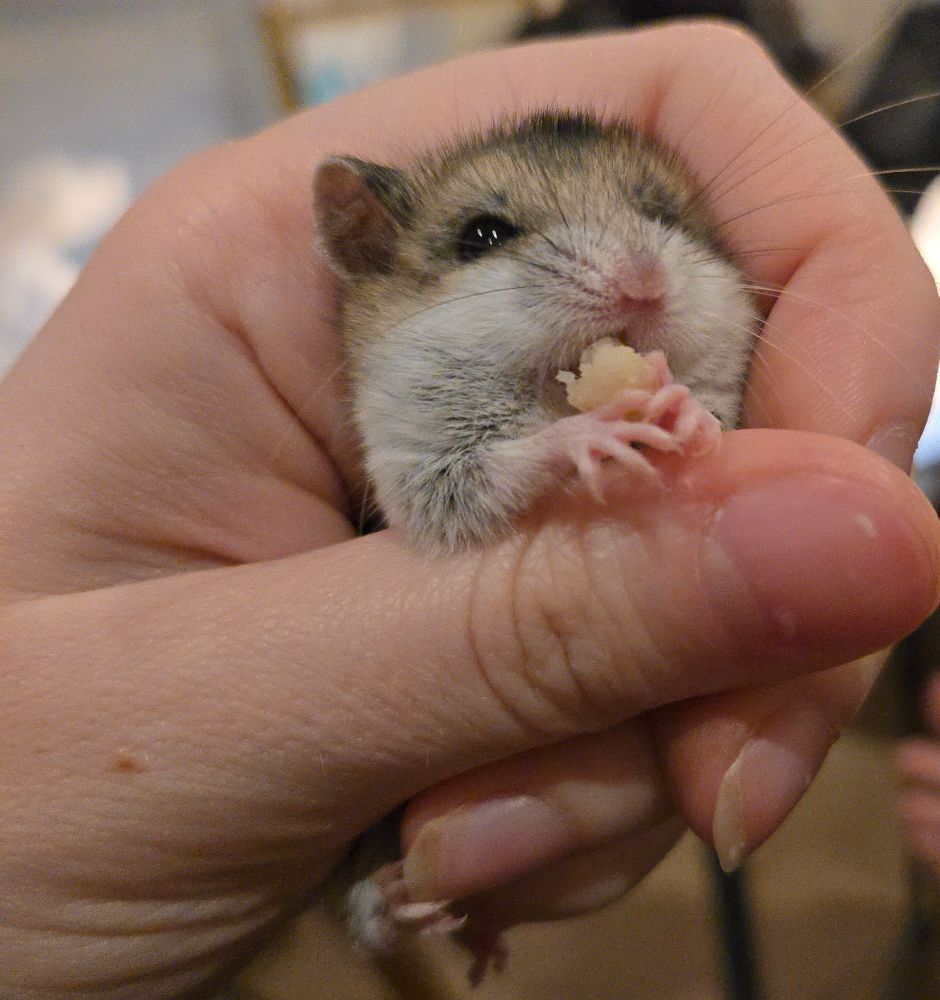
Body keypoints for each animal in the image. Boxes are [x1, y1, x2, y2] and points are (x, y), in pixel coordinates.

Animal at [312, 110, 757, 553]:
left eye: (663, 215)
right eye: (483, 235)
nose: (645, 285)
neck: (551, 396)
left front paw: (685, 409)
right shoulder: (421, 473)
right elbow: (501, 466)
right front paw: (601, 427)